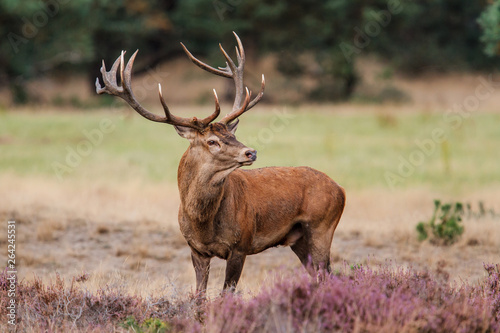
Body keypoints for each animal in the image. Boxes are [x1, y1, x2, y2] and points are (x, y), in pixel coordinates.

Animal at [96, 32, 348, 292]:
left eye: (233, 135)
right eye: (212, 141)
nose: (251, 152)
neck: (203, 225)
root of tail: (340, 189)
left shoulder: (240, 245)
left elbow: (227, 293)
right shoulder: (196, 249)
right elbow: (199, 294)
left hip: (321, 226)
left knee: (328, 274)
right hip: (298, 239)